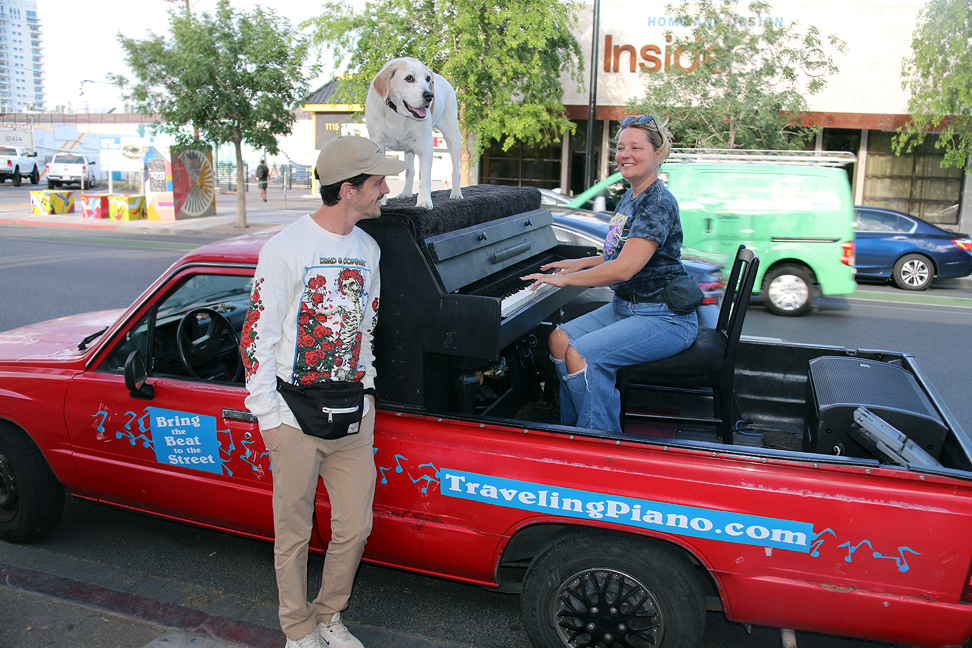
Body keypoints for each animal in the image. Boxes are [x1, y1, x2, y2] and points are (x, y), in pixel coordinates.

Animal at [365, 57, 464, 210]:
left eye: (428, 79)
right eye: (409, 78)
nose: (429, 95)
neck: (397, 115)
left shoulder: (425, 147)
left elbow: (425, 180)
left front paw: (424, 201)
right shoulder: (378, 144)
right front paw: (381, 199)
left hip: (452, 135)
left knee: (455, 170)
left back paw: (456, 193)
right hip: (409, 149)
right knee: (409, 172)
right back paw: (406, 192)